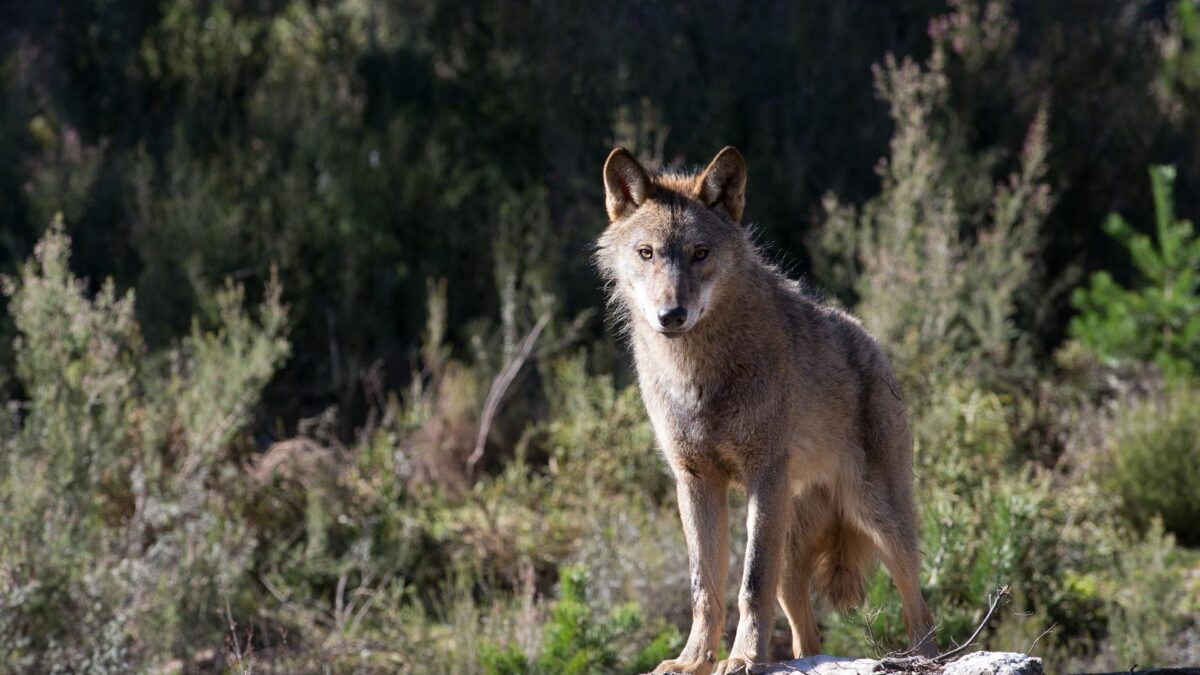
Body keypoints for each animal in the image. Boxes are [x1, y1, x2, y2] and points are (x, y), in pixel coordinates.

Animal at [595, 144, 940, 667]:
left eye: (700, 253)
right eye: (646, 253)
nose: (671, 315)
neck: (697, 374)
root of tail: (874, 345)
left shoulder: (764, 473)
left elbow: (750, 584)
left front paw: (742, 660)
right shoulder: (695, 481)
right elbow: (704, 587)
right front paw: (694, 661)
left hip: (878, 518)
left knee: (919, 610)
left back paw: (923, 657)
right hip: (791, 552)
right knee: (806, 640)